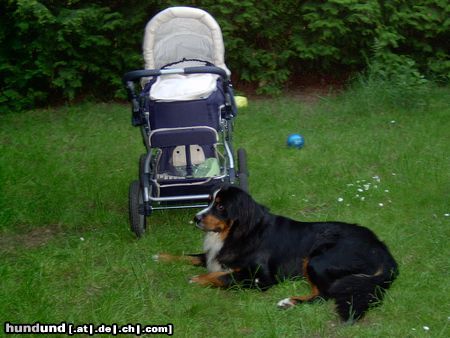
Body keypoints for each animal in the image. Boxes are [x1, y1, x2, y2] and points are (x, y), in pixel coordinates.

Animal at [154, 186, 398, 320]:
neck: (240, 232)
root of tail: (382, 250)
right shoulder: (216, 255)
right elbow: (191, 256)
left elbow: (226, 276)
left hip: (318, 259)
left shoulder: (262, 277)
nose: (196, 218)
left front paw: (198, 279)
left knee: (324, 294)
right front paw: (162, 256)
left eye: (221, 207)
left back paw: (290, 302)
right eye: (209, 202)